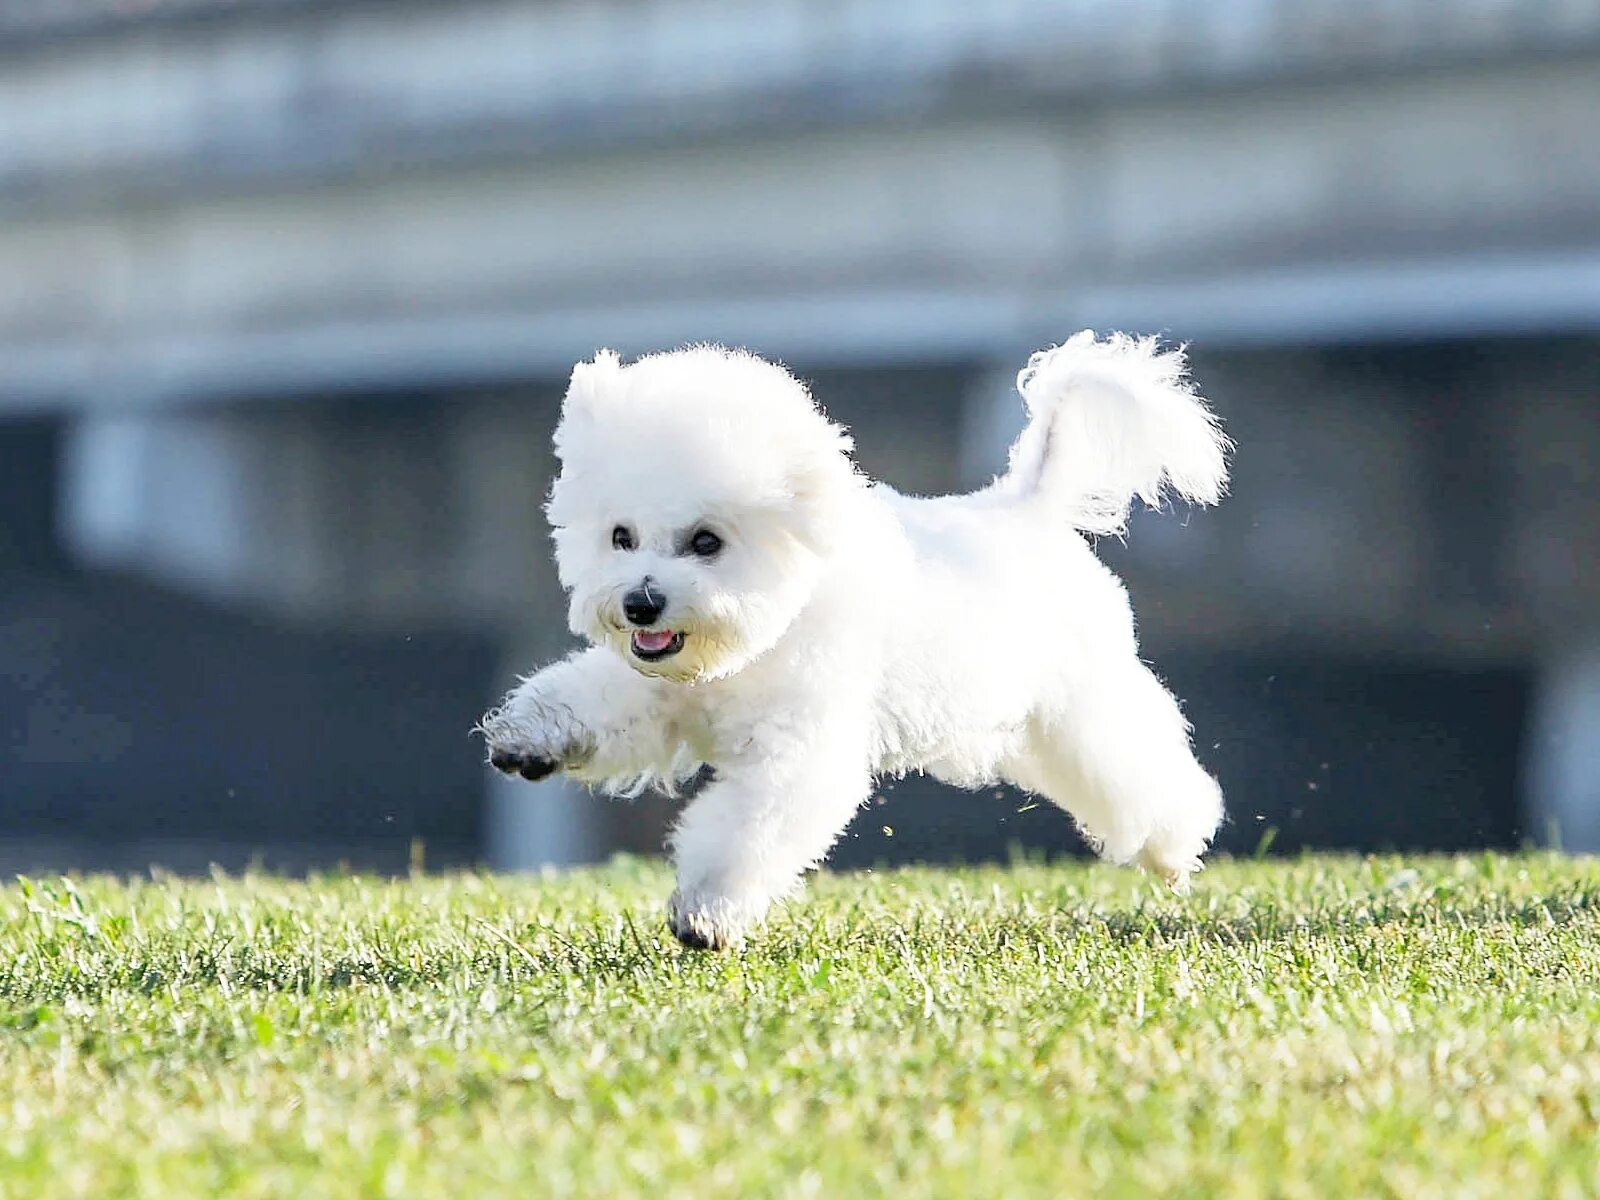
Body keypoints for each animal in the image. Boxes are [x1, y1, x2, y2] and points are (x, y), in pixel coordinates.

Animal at [480, 329, 1228, 947]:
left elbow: (748, 829)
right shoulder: (664, 692)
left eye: (706, 541)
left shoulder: (798, 749)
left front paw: (708, 913)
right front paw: (528, 741)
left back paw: (1173, 849)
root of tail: (1027, 506)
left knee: (1146, 773)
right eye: (621, 536)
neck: (765, 635)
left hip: (1082, 705)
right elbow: (598, 700)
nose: (641, 604)